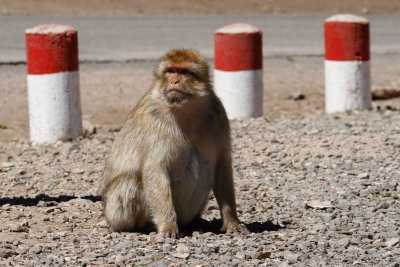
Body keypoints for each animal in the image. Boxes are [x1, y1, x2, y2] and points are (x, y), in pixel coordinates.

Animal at [101, 49, 247, 238]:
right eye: (170, 71)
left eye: (184, 72)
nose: (174, 81)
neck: (185, 109)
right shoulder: (153, 120)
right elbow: (154, 171)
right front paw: (168, 226)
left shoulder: (218, 115)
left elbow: (222, 167)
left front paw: (232, 222)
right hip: (115, 213)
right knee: (131, 181)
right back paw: (147, 226)